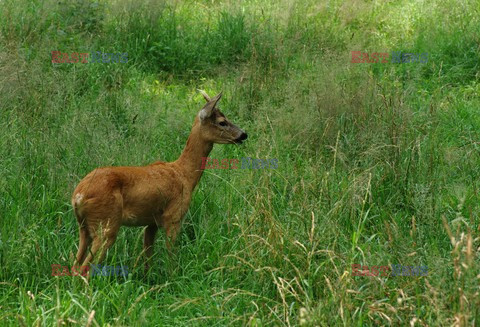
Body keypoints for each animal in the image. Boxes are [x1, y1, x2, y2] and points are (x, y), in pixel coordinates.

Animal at [71, 91, 248, 272]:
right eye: (222, 122)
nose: (243, 134)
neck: (184, 174)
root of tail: (78, 196)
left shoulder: (152, 222)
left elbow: (148, 257)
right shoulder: (174, 216)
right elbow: (171, 257)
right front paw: (173, 276)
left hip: (84, 227)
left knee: (74, 264)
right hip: (107, 223)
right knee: (84, 268)